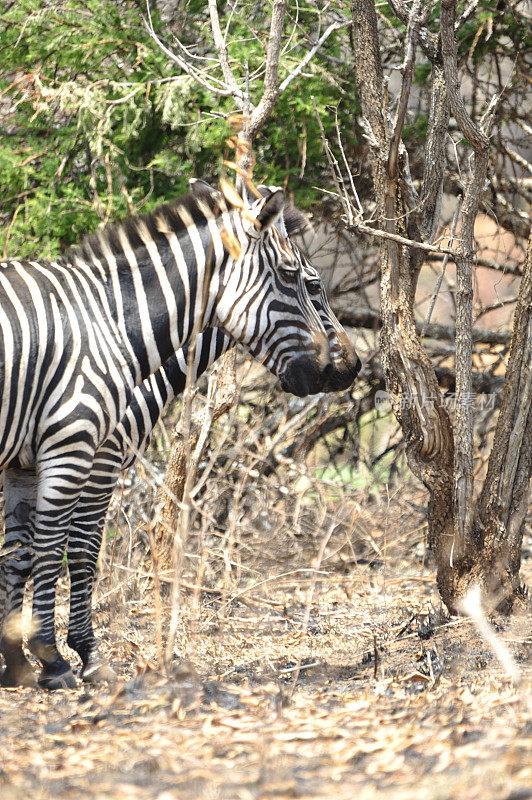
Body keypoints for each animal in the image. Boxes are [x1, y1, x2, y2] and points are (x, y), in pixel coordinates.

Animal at [0, 180, 358, 688]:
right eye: (304, 281)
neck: (115, 324)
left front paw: (14, 661)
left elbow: (18, 553)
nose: (350, 367)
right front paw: (64, 658)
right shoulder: (84, 449)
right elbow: (71, 550)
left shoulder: (27, 460)